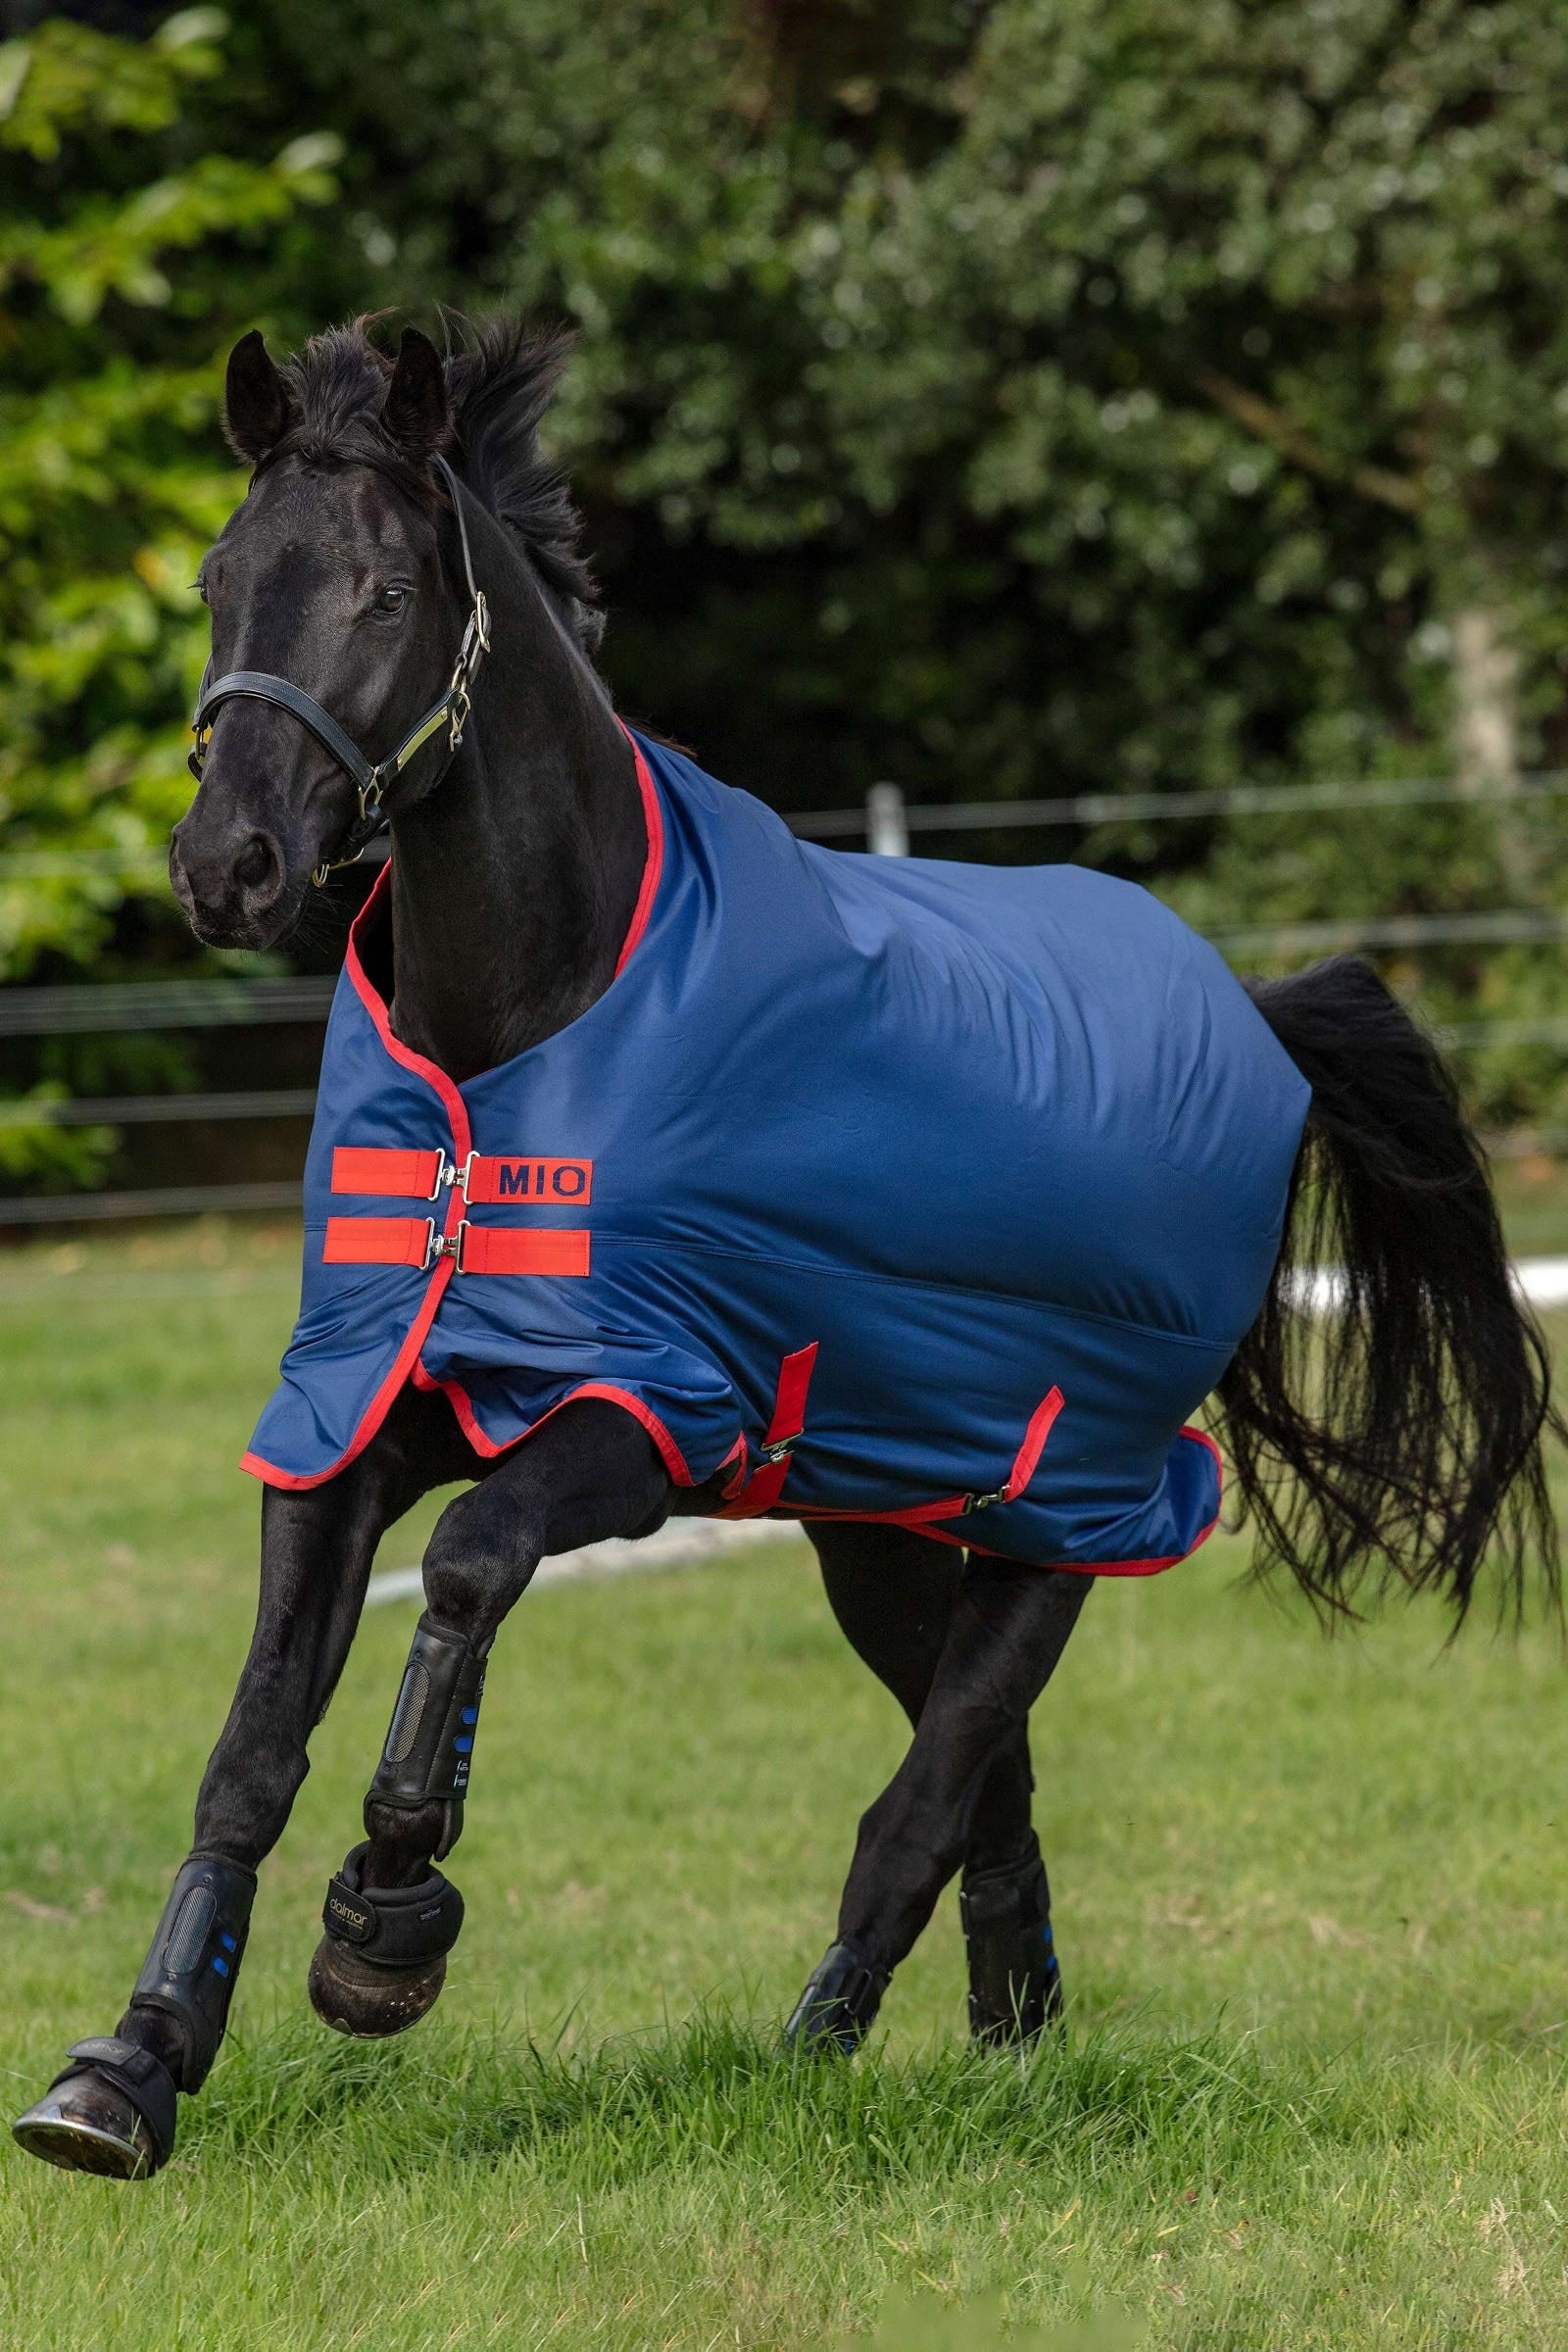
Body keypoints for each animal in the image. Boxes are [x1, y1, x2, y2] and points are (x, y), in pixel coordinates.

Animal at [14, 316, 1558, 2180]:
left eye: (384, 591)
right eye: (222, 582)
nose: (227, 865)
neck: (526, 1034)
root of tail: (1251, 1016)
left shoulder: (646, 1415)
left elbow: (466, 1567)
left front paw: (383, 1932)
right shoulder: (349, 1409)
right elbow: (249, 1742)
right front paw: (129, 2068)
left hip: (1072, 1505)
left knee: (933, 1787)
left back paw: (817, 2050)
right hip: (878, 1522)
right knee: (990, 1775)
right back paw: (1014, 2035)